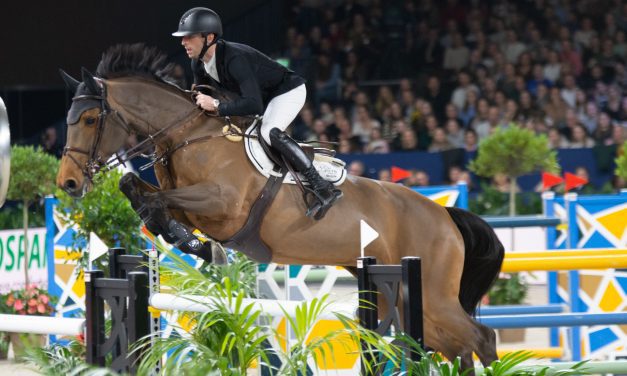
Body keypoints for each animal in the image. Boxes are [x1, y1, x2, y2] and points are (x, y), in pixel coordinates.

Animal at [55, 44, 506, 368]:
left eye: (91, 119)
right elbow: (138, 189)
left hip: (430, 291)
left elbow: (155, 199)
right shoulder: (191, 204)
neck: (187, 136)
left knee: (480, 339)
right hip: (405, 299)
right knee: (456, 346)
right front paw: (193, 244)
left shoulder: (223, 204)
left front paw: (195, 243)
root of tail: (443, 214)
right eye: (69, 120)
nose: (68, 183)